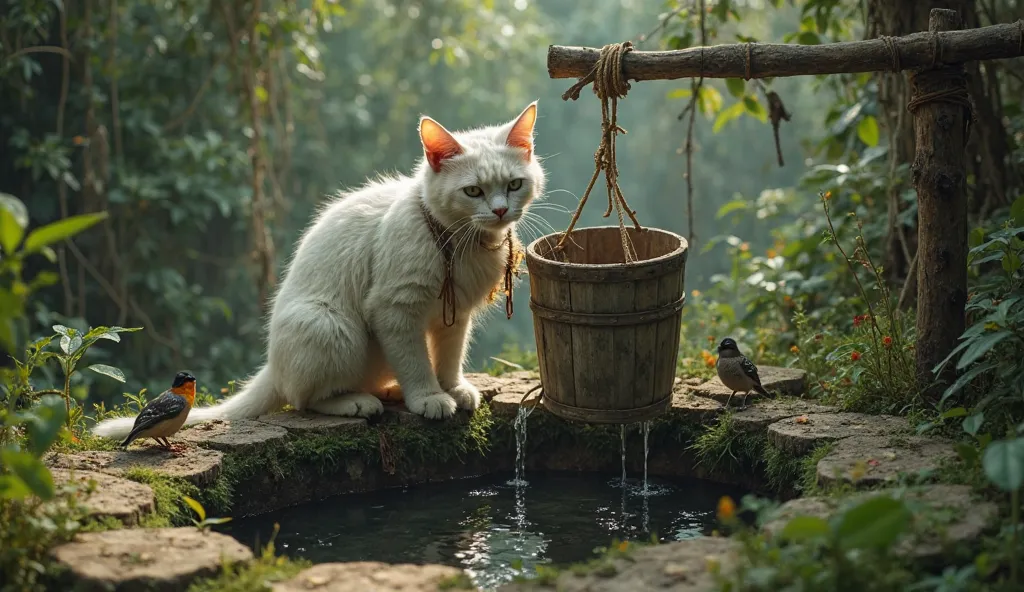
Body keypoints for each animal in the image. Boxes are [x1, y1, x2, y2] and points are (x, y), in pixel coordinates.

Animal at [95, 100, 544, 438]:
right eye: (473, 191)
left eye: (514, 184)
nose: (500, 210)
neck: (461, 243)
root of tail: (272, 366)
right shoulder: (394, 308)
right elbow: (416, 360)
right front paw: (429, 397)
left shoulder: (455, 314)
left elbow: (449, 355)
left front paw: (452, 387)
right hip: (334, 327)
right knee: (305, 399)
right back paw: (359, 402)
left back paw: (389, 390)